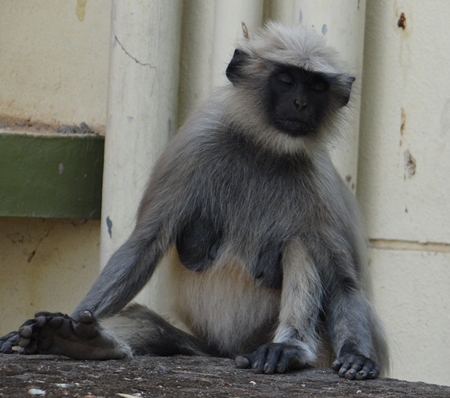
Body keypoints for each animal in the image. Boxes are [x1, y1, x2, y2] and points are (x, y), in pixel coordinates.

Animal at [0, 23, 386, 380]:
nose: (301, 103)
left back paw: (288, 349)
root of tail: (230, 351)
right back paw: (80, 341)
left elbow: (343, 282)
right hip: (204, 346)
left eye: (317, 87)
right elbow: (142, 247)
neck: (265, 149)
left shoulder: (320, 184)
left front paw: (356, 355)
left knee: (300, 245)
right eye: (287, 80)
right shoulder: (193, 147)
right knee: (148, 323)